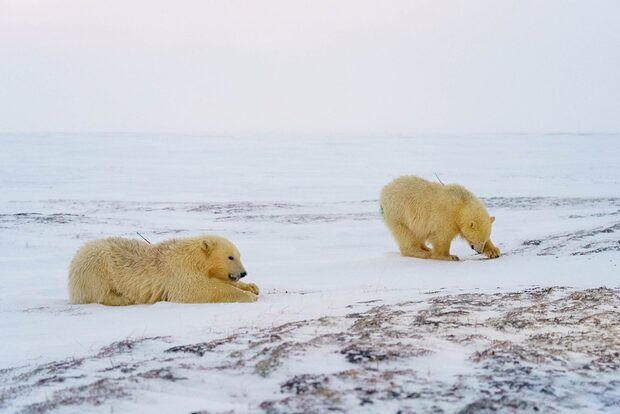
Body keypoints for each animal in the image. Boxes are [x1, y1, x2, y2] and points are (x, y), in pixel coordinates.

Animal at [68, 234, 260, 306]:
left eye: (239, 255)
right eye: (230, 257)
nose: (243, 273)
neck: (193, 257)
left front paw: (252, 287)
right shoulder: (179, 270)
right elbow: (198, 289)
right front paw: (249, 296)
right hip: (95, 268)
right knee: (100, 293)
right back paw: (125, 299)